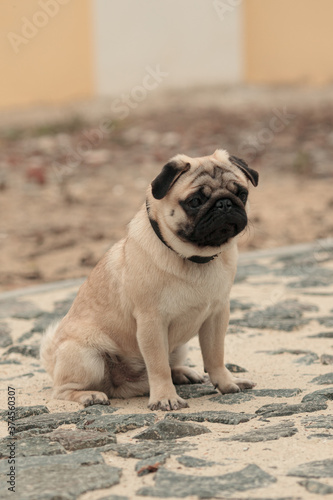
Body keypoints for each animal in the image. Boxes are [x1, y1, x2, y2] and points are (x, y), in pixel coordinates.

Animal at [40, 148, 258, 410]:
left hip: (179, 348)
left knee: (168, 367)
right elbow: (158, 365)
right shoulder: (151, 323)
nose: (224, 204)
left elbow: (215, 355)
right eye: (195, 201)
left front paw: (227, 383)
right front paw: (165, 397)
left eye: (242, 193)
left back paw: (183, 373)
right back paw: (89, 395)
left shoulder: (217, 315)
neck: (195, 259)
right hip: (86, 357)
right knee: (62, 390)